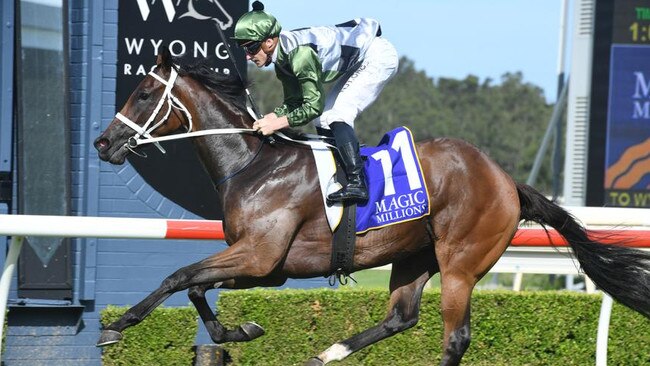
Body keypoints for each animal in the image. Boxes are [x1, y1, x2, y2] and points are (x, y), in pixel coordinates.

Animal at [92, 48, 648, 364]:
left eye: (144, 94)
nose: (103, 143)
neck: (252, 164)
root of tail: (505, 179)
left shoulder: (259, 255)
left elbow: (179, 276)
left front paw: (116, 327)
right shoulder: (266, 267)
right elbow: (195, 287)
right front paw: (241, 329)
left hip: (461, 263)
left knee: (455, 338)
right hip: (413, 257)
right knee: (400, 317)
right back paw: (326, 354)